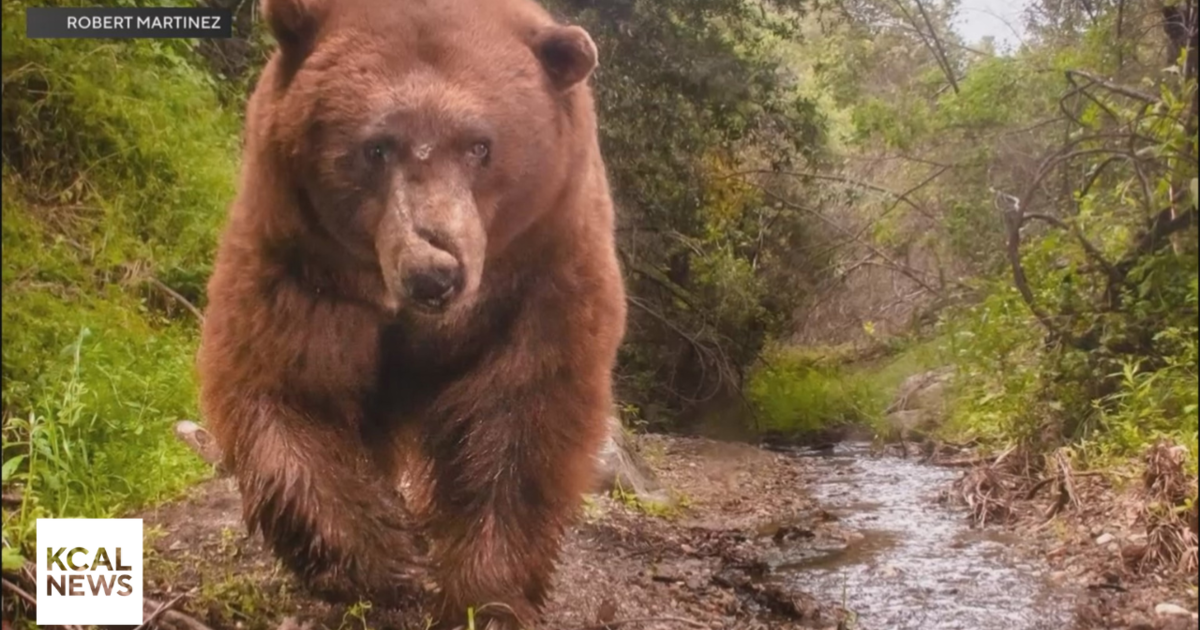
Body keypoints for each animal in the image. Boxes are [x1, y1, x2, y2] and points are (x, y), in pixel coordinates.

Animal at [194, 0, 628, 624]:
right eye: (376, 147)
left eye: (480, 146)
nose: (434, 274)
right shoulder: (302, 261)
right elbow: (291, 387)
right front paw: (378, 558)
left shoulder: (541, 271)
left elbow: (522, 414)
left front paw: (486, 593)